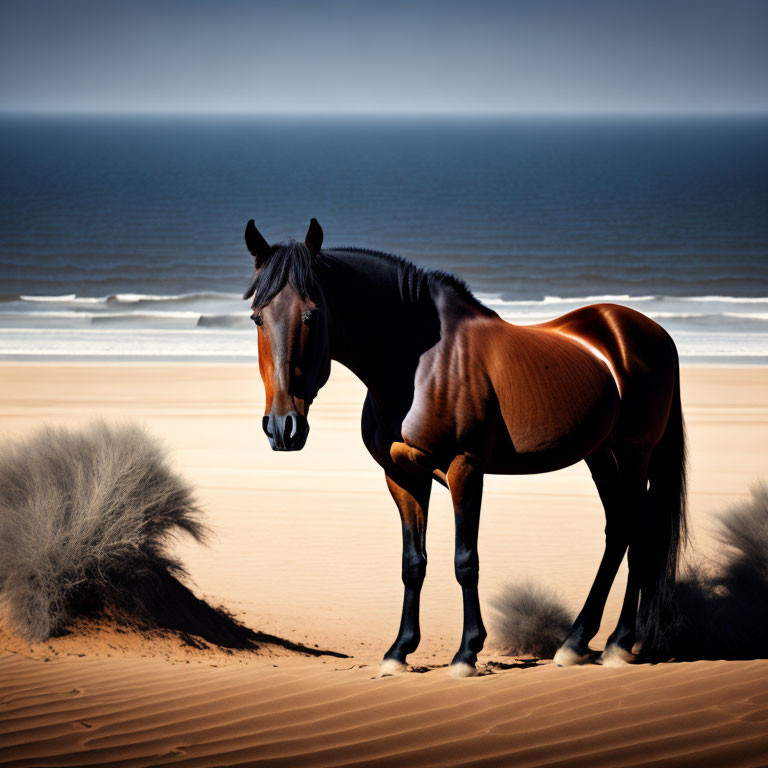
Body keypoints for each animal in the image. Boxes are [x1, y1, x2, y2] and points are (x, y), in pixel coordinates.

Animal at [243, 218, 688, 680]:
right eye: (257, 317)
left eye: (311, 314)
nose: (283, 428)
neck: (418, 367)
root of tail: (650, 332)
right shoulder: (402, 475)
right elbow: (413, 563)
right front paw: (399, 650)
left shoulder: (465, 468)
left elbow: (465, 560)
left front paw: (466, 653)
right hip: (600, 455)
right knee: (618, 531)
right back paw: (576, 643)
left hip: (634, 455)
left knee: (639, 533)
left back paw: (618, 643)